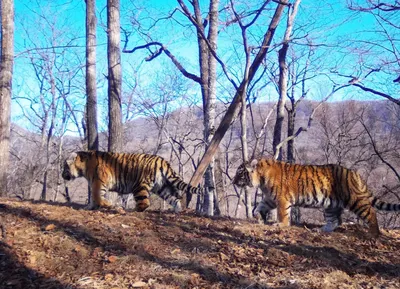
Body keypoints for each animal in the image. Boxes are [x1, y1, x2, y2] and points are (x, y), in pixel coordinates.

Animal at [61, 151, 203, 212]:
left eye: (64, 167)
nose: (62, 175)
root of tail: (161, 160)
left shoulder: (98, 184)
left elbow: (98, 198)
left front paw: (111, 205)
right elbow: (93, 199)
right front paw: (88, 207)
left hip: (139, 186)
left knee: (145, 203)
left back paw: (130, 210)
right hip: (161, 188)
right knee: (174, 199)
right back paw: (177, 211)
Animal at [233, 158, 400, 236]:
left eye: (240, 173)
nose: (233, 181)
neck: (261, 179)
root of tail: (355, 174)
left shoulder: (281, 199)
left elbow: (283, 214)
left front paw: (281, 225)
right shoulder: (269, 198)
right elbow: (259, 208)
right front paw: (259, 218)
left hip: (355, 200)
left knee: (371, 213)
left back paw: (373, 234)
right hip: (331, 205)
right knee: (336, 220)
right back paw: (323, 229)